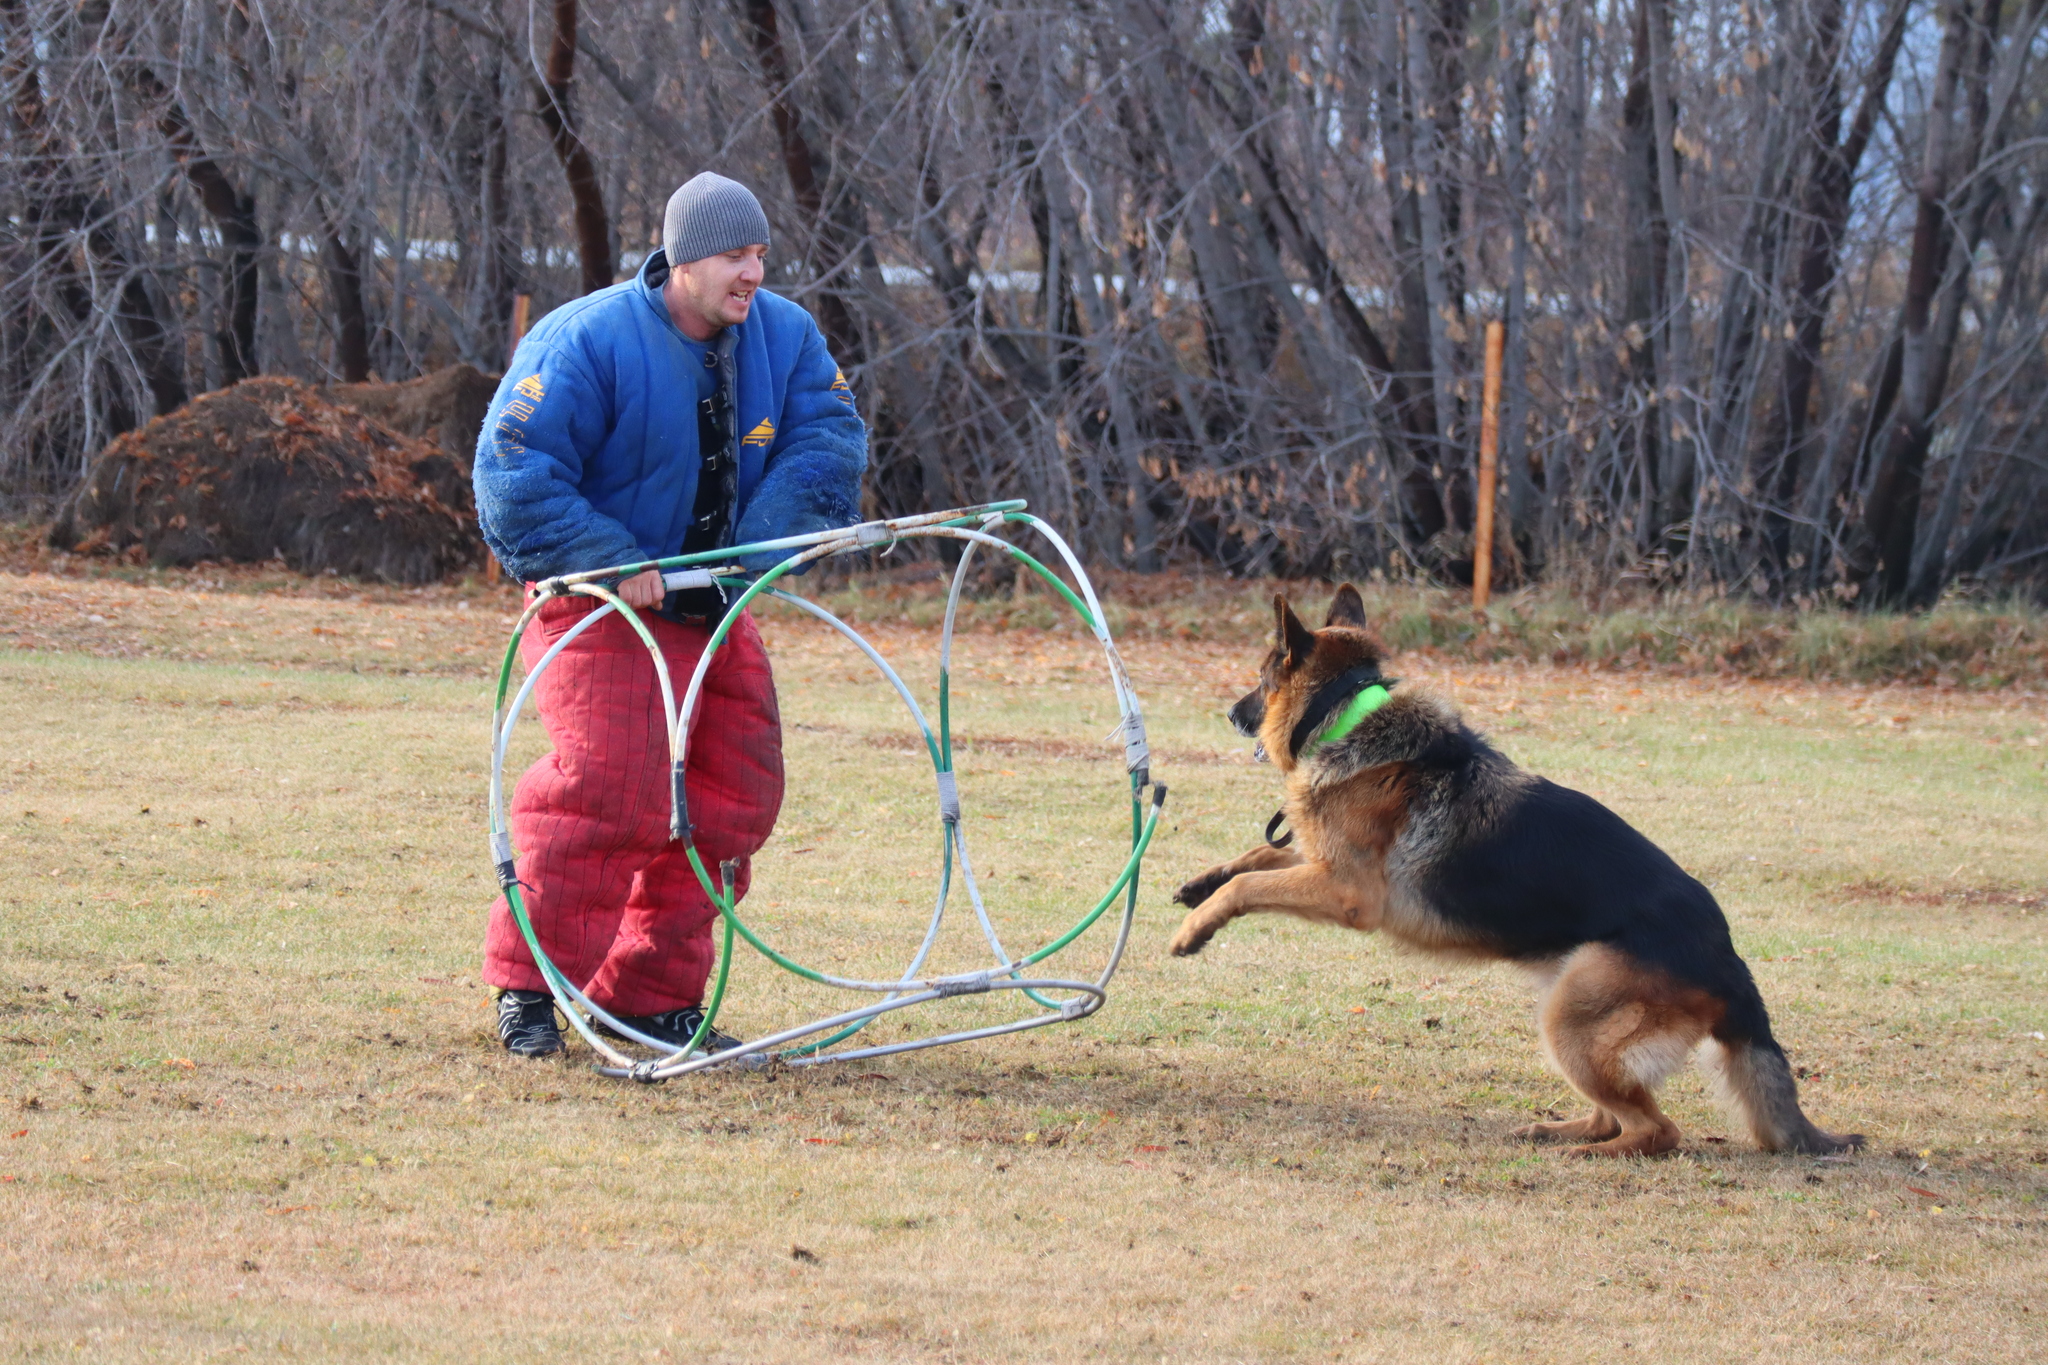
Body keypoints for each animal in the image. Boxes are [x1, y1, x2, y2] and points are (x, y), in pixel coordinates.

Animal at [1171, 589, 1859, 1162]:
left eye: (1261, 679)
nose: (1230, 714)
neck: (1346, 710)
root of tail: (1730, 961)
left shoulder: (1348, 892)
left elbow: (1253, 882)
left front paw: (1195, 930)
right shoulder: (1323, 862)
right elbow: (1256, 859)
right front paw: (1200, 886)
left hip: (1572, 1017)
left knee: (1657, 1131)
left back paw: (1590, 1156)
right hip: (1566, 1004)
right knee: (1613, 1116)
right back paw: (1560, 1132)